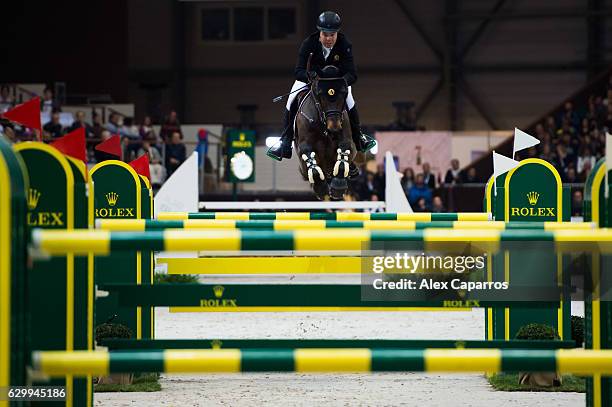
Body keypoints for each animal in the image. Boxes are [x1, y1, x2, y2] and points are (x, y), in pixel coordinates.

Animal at [292, 65, 360, 201]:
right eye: (320, 94)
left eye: (344, 93)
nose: (334, 126)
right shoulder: (304, 145)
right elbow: (312, 164)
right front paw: (321, 189)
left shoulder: (347, 140)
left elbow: (343, 153)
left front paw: (338, 187)